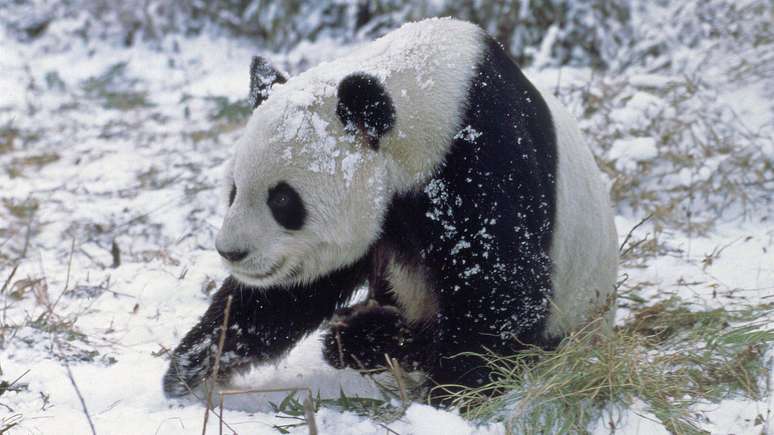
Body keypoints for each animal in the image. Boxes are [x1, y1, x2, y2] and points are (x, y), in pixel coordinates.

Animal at [163, 18, 618, 403]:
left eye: (283, 201)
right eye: (234, 191)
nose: (231, 252)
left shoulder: (480, 156)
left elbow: (503, 289)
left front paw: (453, 390)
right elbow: (287, 295)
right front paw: (191, 367)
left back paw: (370, 337)